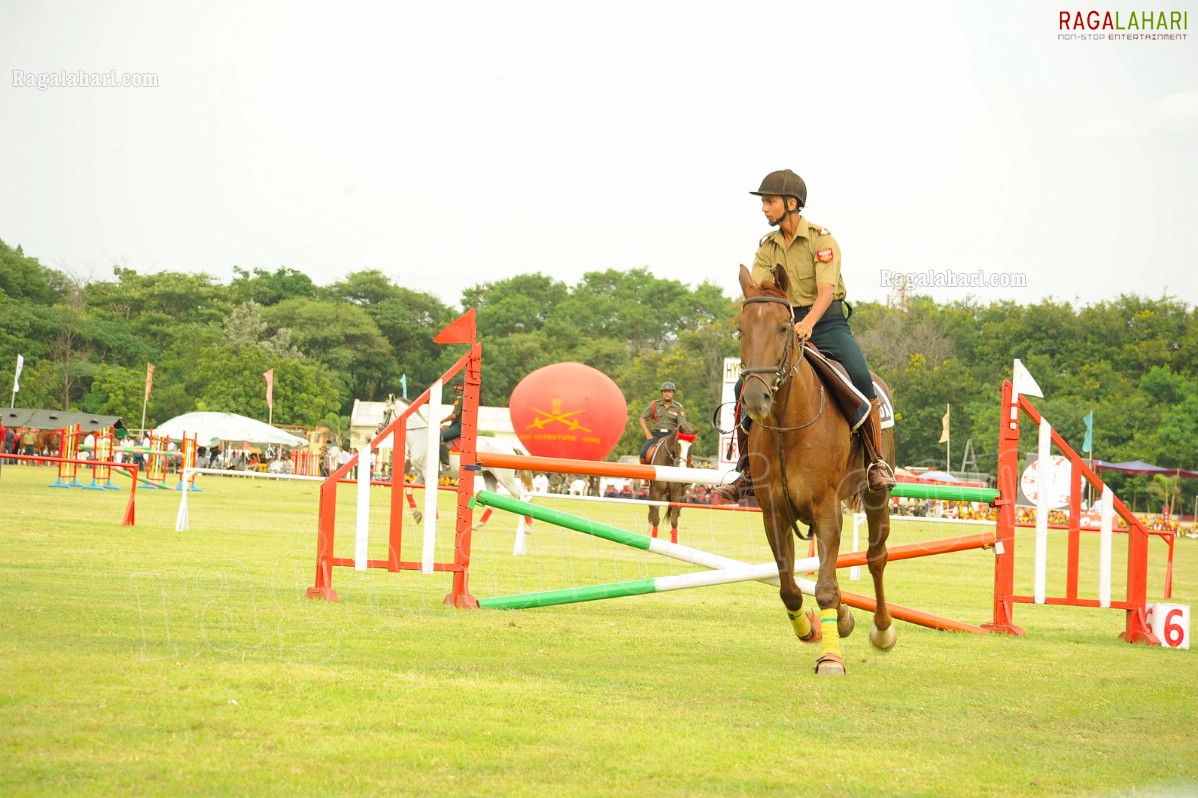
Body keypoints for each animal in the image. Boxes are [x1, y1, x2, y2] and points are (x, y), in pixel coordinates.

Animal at [733, 266, 896, 670]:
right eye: (741, 330)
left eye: (783, 328)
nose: (756, 397)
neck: (788, 425)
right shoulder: (774, 512)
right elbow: (791, 588)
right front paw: (811, 628)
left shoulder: (826, 508)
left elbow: (824, 588)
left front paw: (831, 659)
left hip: (875, 497)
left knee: (876, 557)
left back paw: (883, 629)